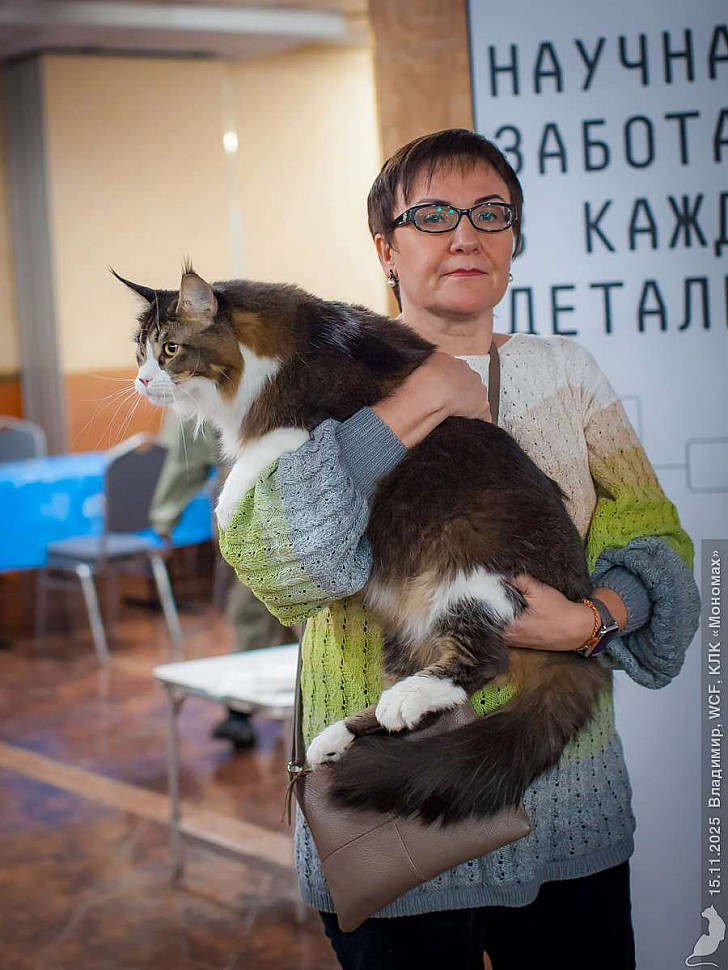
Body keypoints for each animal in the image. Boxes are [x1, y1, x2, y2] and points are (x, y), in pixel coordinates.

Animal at [119, 266, 611, 825]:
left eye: (170, 349)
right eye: (140, 351)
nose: (141, 380)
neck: (282, 347)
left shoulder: (302, 423)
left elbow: (250, 461)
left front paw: (223, 510)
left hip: (473, 575)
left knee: (482, 663)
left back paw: (403, 701)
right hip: (411, 625)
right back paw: (339, 736)